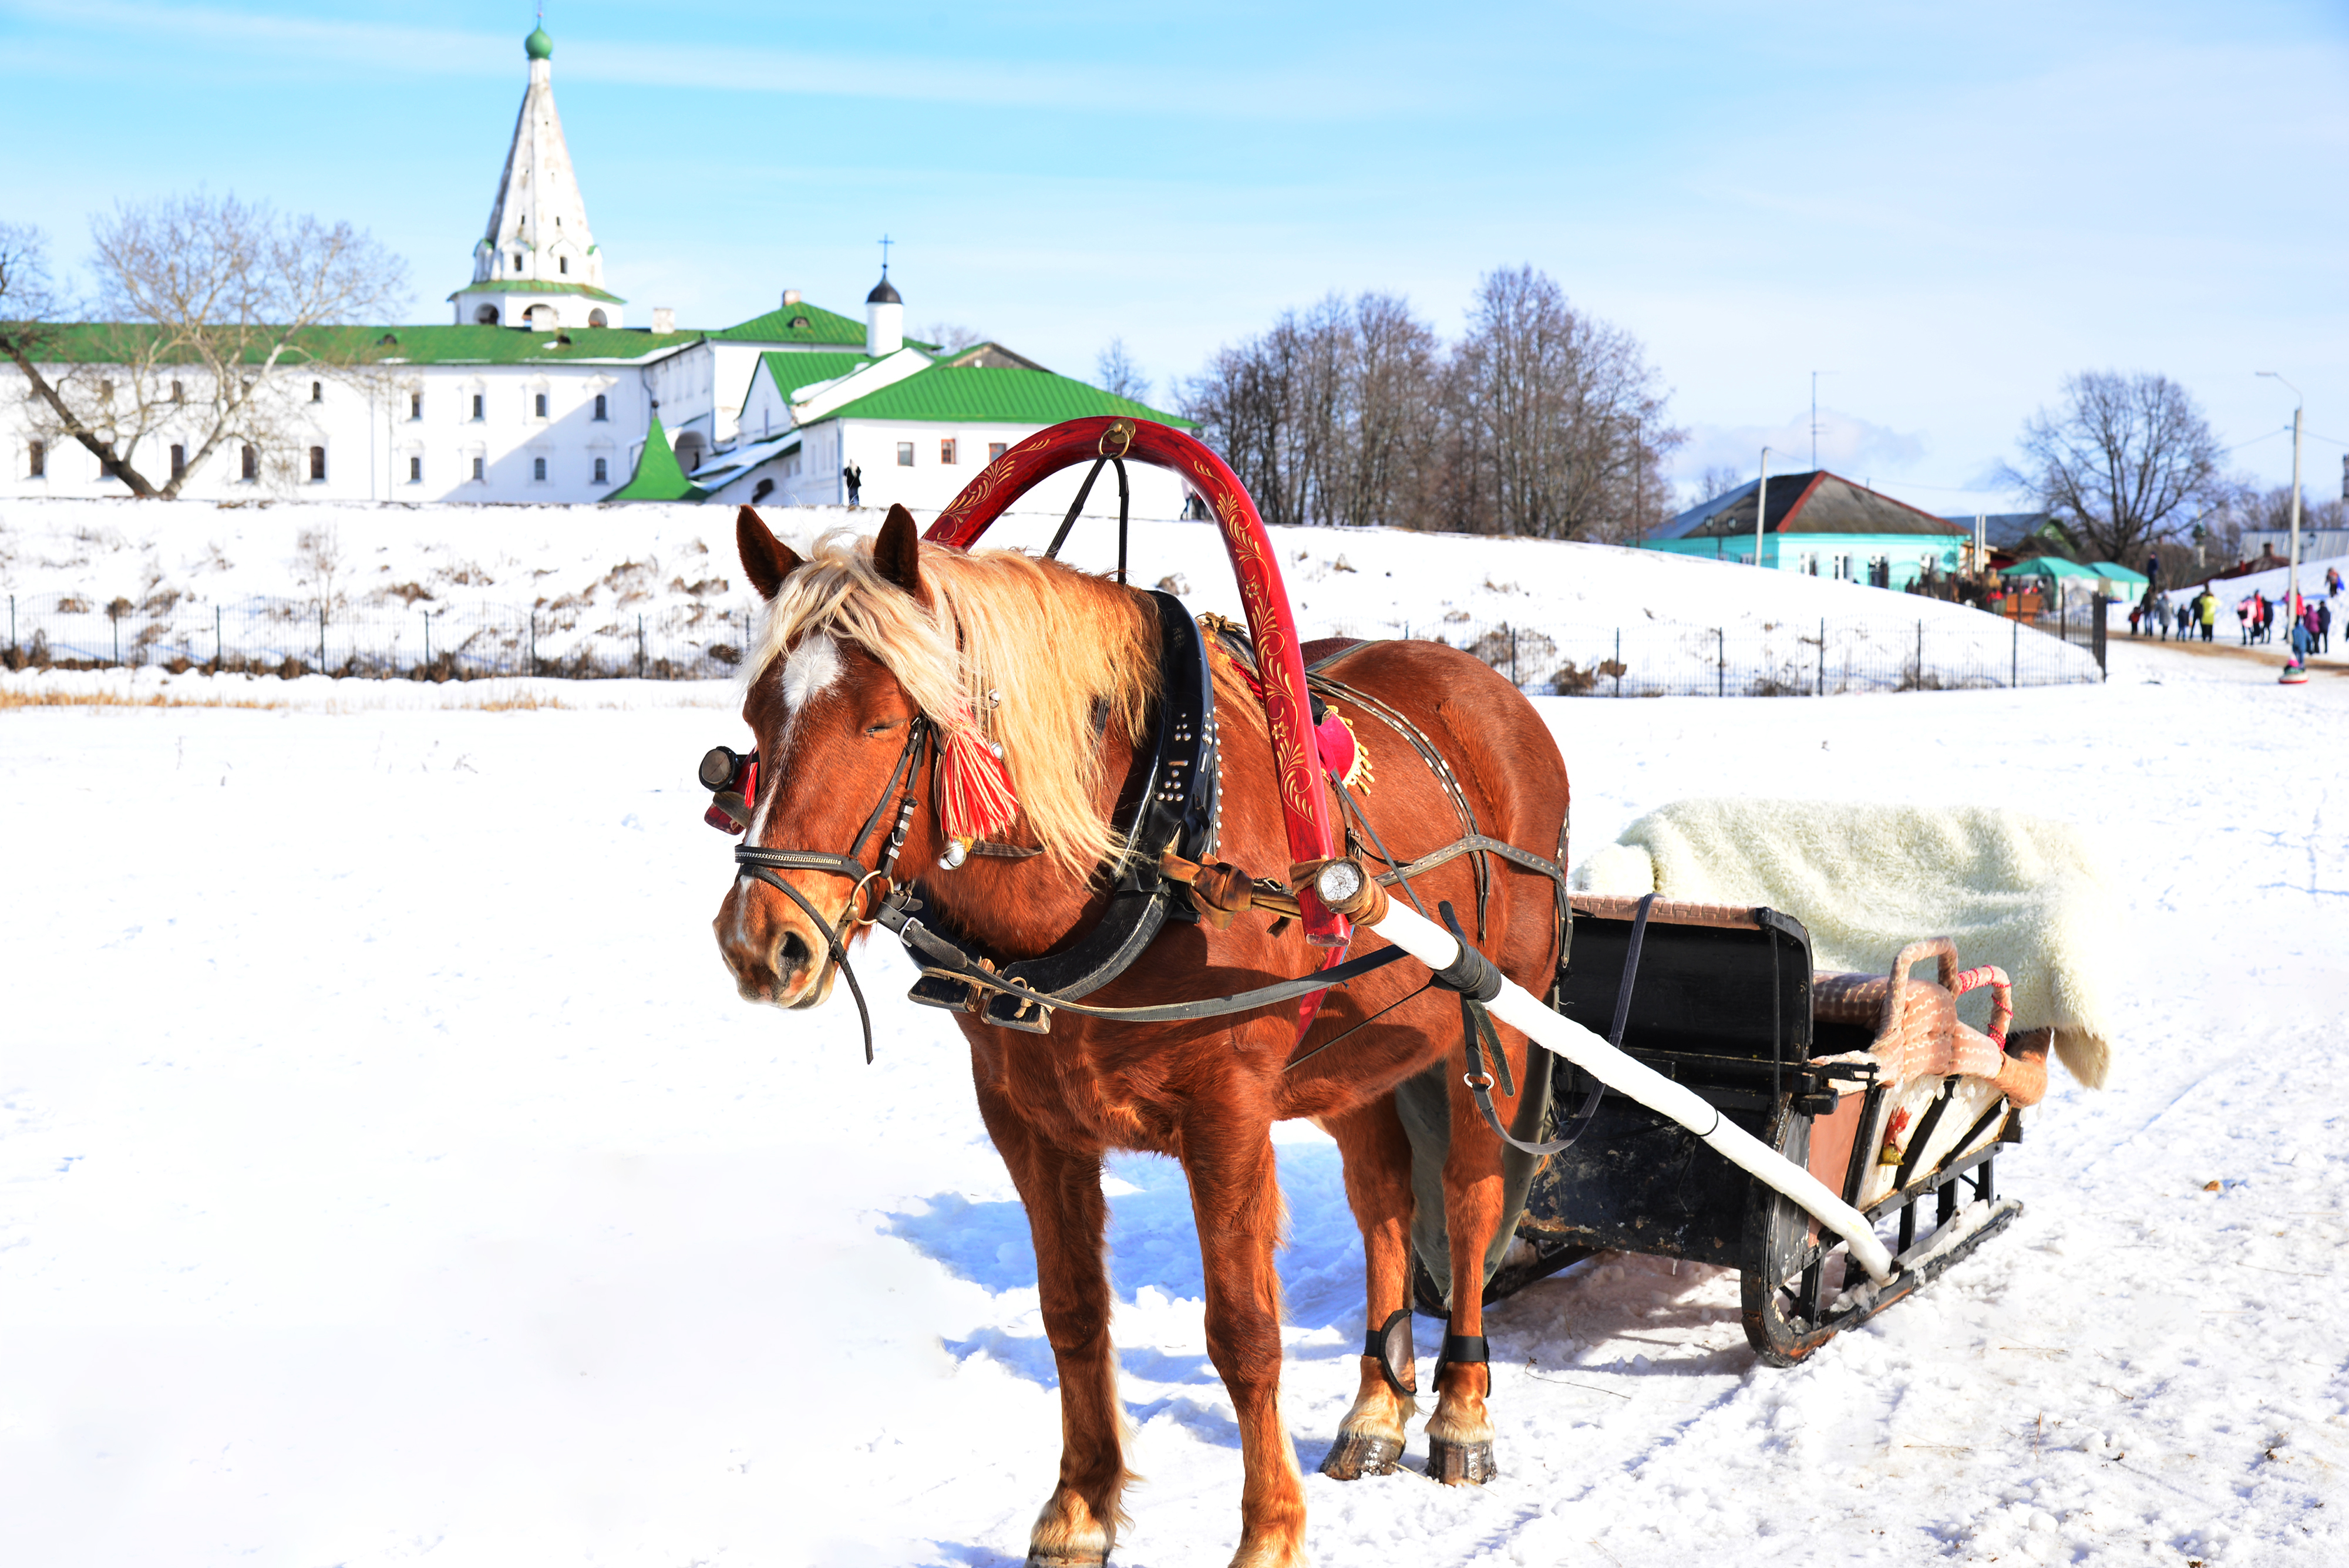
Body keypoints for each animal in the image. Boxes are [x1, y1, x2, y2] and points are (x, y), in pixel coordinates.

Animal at [705, 504, 1569, 1568]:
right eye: (757, 719)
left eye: (882, 719)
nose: (762, 943)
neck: (1148, 854)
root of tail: (1496, 691)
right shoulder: (1028, 1121)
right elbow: (1072, 1312)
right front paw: (1079, 1507)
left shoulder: (1226, 1113)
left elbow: (1245, 1331)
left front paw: (1268, 1532)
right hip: (1358, 1059)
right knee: (1385, 1209)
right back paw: (1376, 1407)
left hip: (1494, 1026)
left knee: (1472, 1201)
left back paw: (1460, 1412)